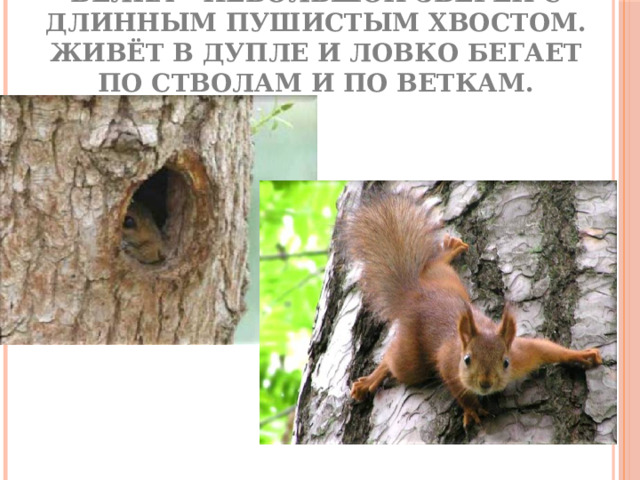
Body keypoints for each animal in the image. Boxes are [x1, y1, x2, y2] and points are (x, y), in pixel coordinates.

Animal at [343, 193, 603, 428]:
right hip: (411, 358)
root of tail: (414, 294)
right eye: (467, 359)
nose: (485, 383)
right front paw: (473, 409)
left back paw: (448, 251)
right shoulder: (449, 364)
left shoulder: (523, 354)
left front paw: (581, 355)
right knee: (392, 361)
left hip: (447, 279)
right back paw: (370, 380)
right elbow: (459, 390)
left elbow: (546, 348)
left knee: (435, 265)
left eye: (505, 362)